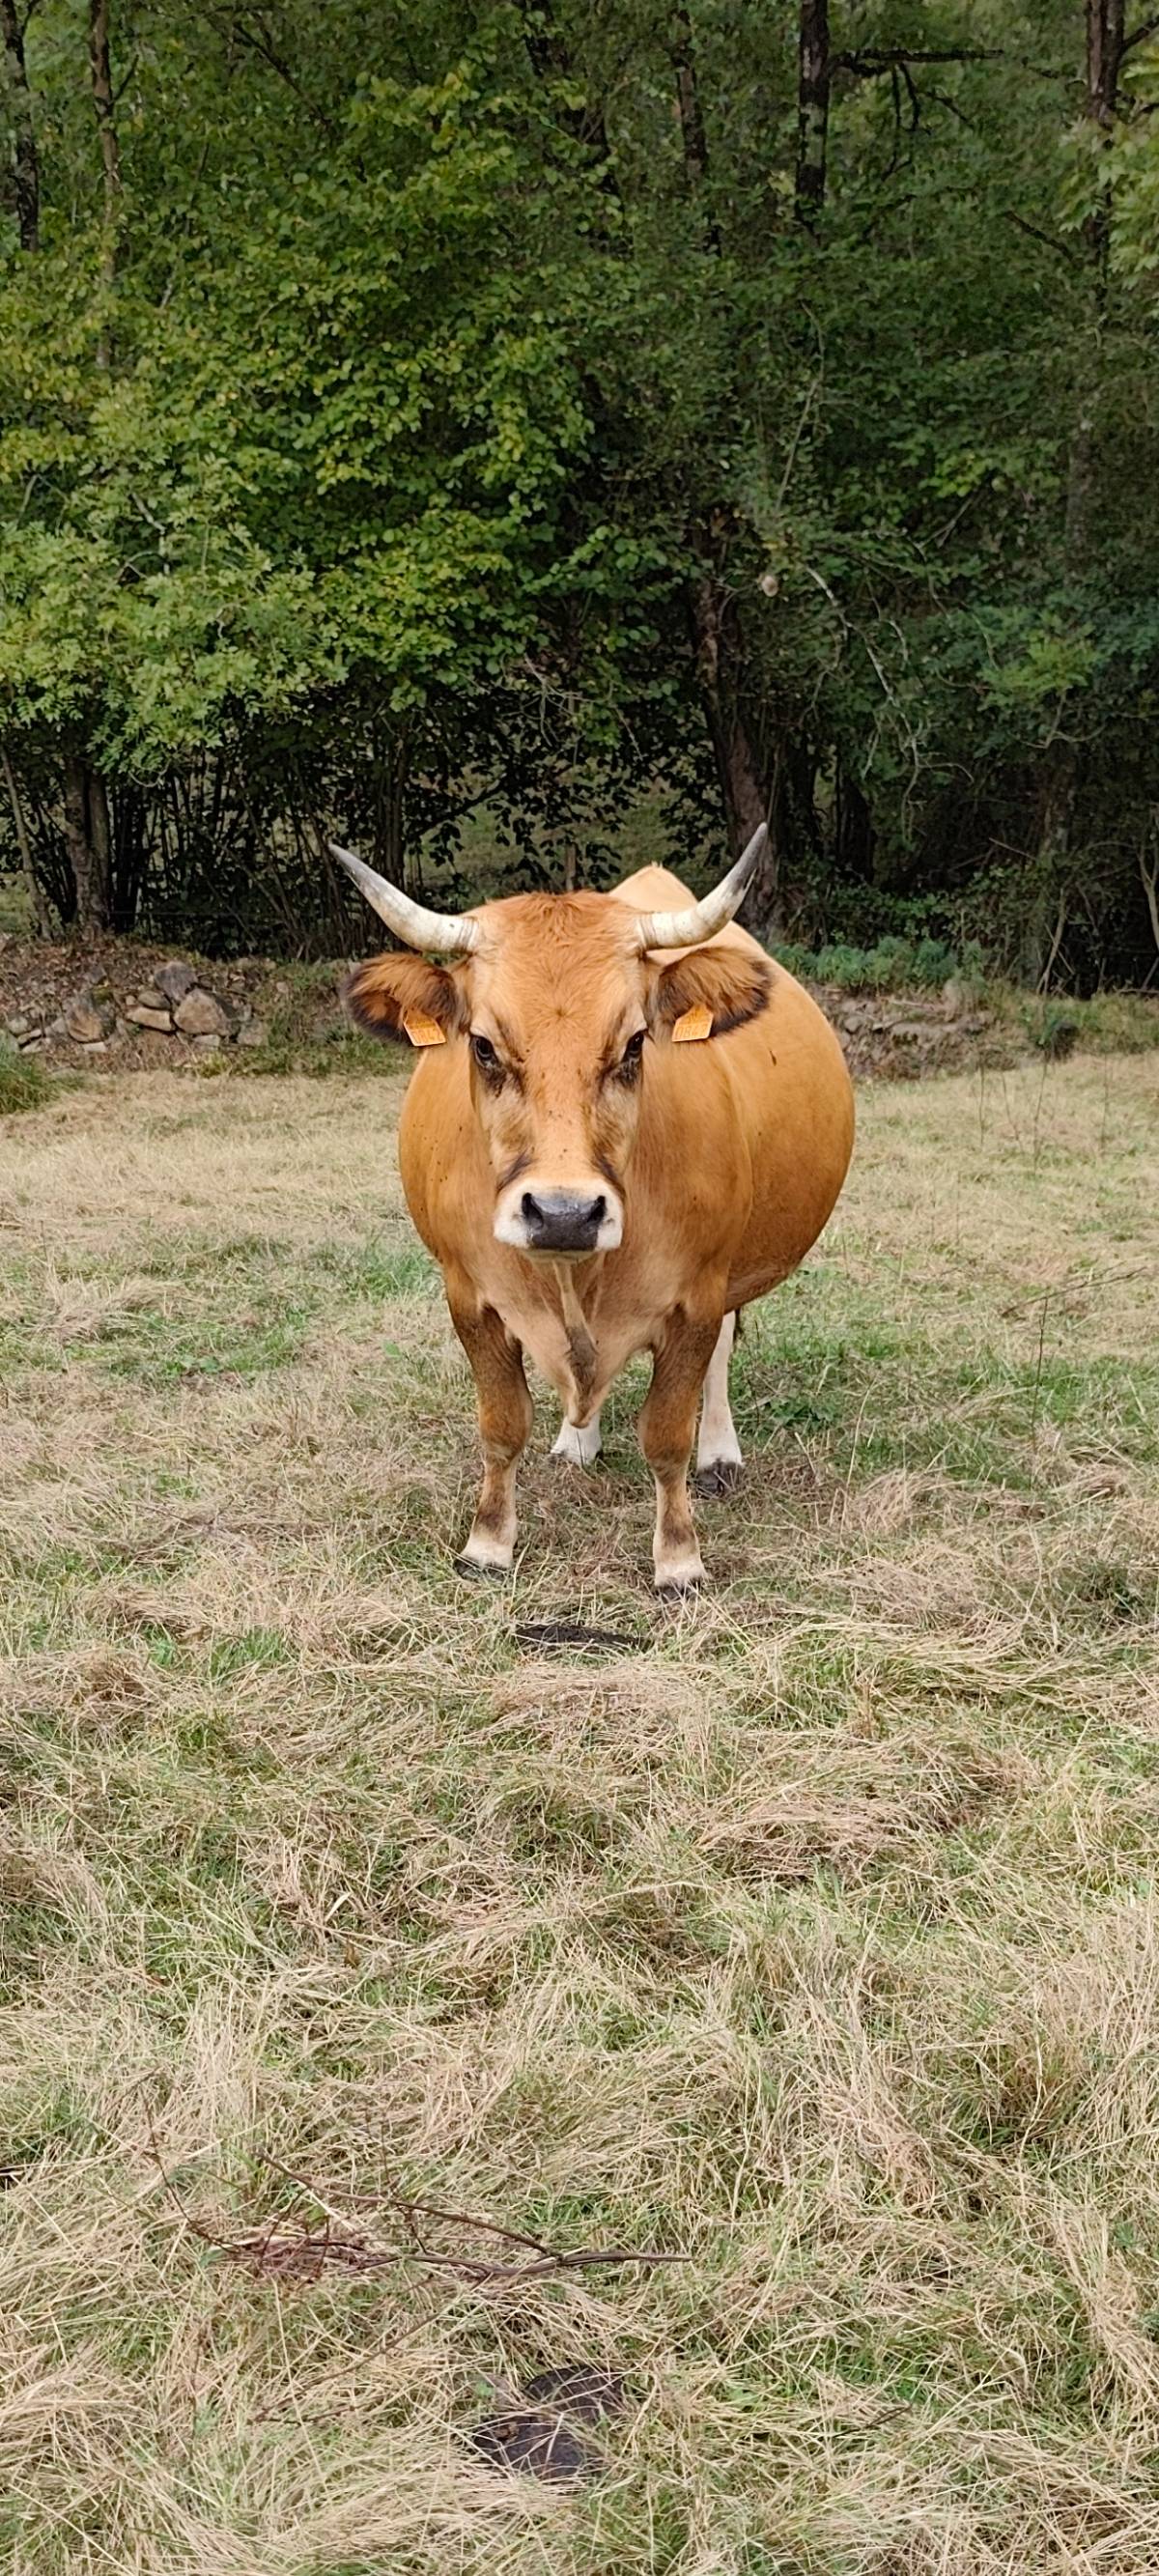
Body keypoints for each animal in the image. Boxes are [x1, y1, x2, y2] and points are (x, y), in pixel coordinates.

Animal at [335, 825, 854, 1592]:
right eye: (483, 1045)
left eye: (635, 1042)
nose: (563, 1212)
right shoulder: (468, 1296)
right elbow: (501, 1426)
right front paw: (488, 1542)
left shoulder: (697, 1298)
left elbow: (667, 1435)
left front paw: (678, 1557)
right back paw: (578, 1436)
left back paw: (719, 1452)